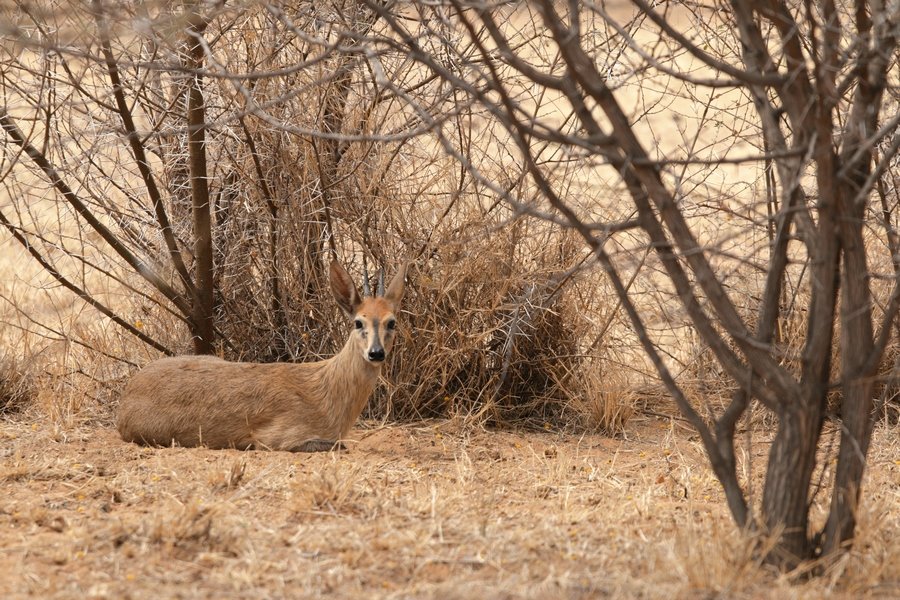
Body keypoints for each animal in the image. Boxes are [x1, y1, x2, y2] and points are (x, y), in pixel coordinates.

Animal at [116, 260, 408, 452]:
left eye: (391, 322)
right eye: (359, 322)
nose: (376, 353)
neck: (327, 390)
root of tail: (129, 393)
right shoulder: (278, 439)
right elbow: (339, 446)